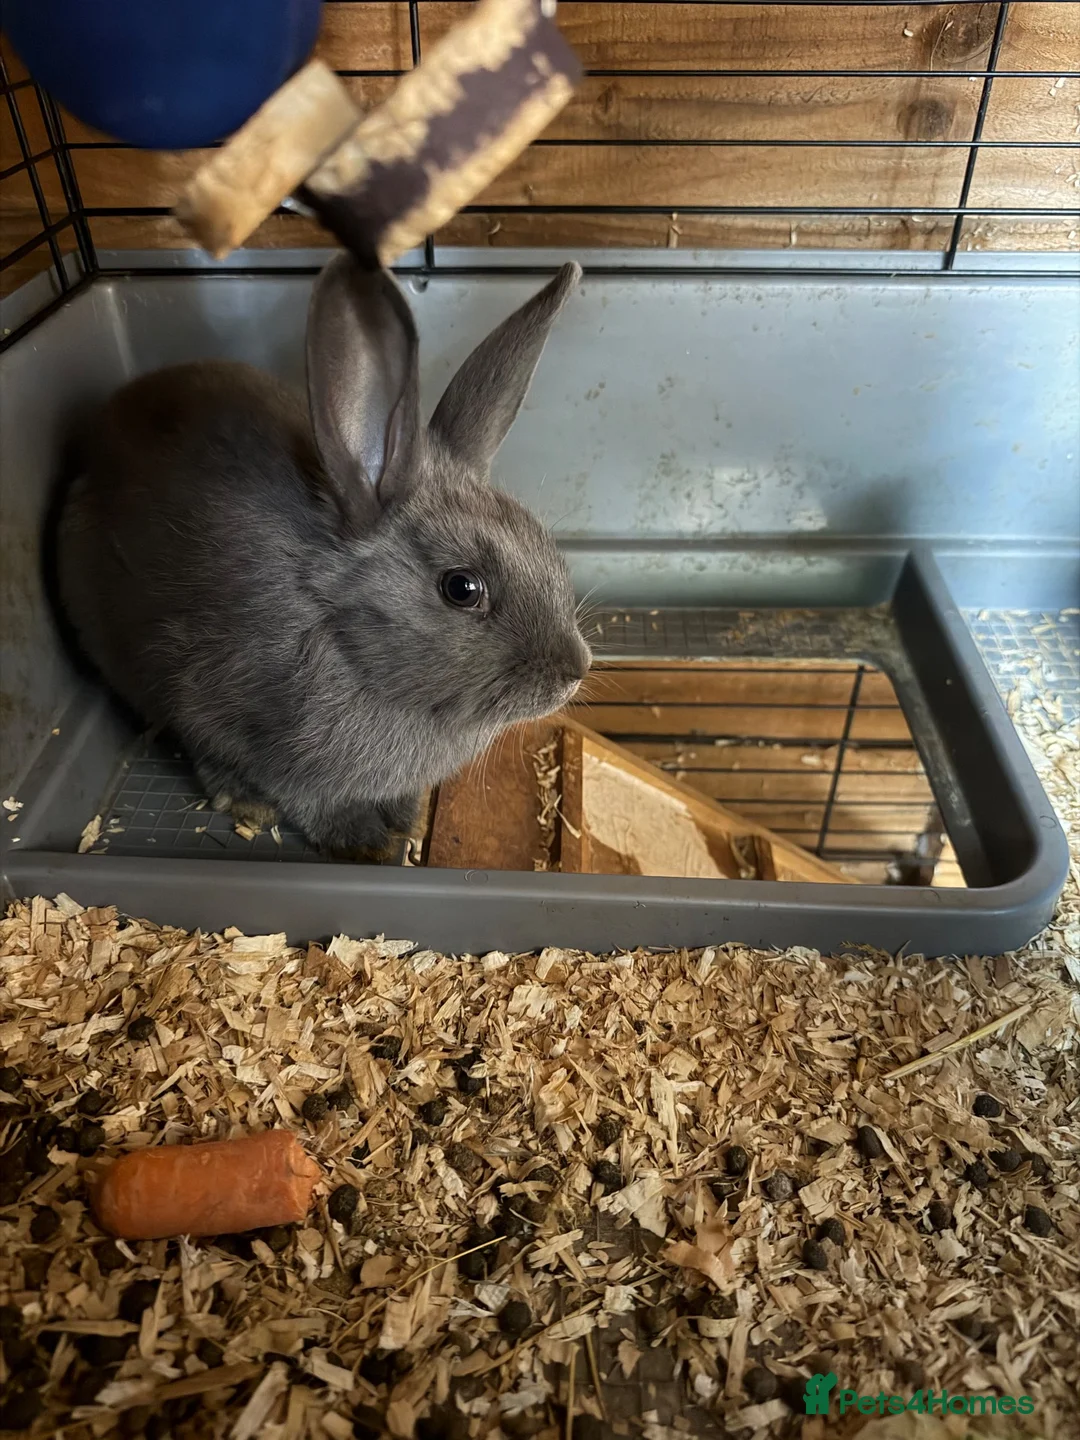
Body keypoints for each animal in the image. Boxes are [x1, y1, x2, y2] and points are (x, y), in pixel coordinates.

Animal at [57, 256, 591, 858]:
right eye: (462, 588)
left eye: (546, 546)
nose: (575, 672)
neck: (344, 638)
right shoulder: (215, 706)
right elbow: (293, 790)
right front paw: (361, 841)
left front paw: (404, 819)